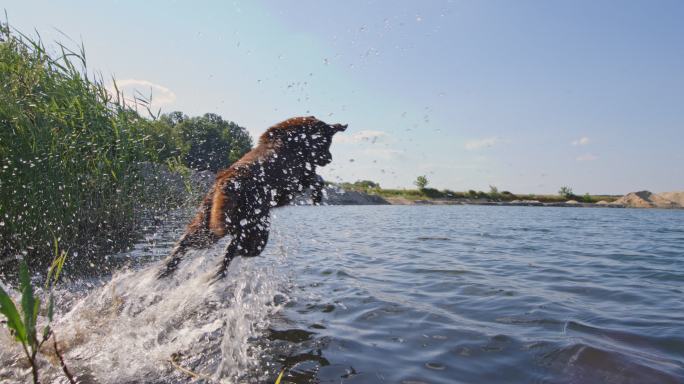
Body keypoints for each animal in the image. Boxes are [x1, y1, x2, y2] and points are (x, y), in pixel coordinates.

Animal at [160, 115, 348, 278]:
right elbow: (318, 179)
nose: (329, 159)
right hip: (253, 226)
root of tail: (227, 182)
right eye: (326, 143)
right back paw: (214, 272)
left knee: (187, 242)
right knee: (237, 249)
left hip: (209, 223)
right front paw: (317, 196)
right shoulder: (298, 178)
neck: (296, 142)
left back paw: (166, 270)